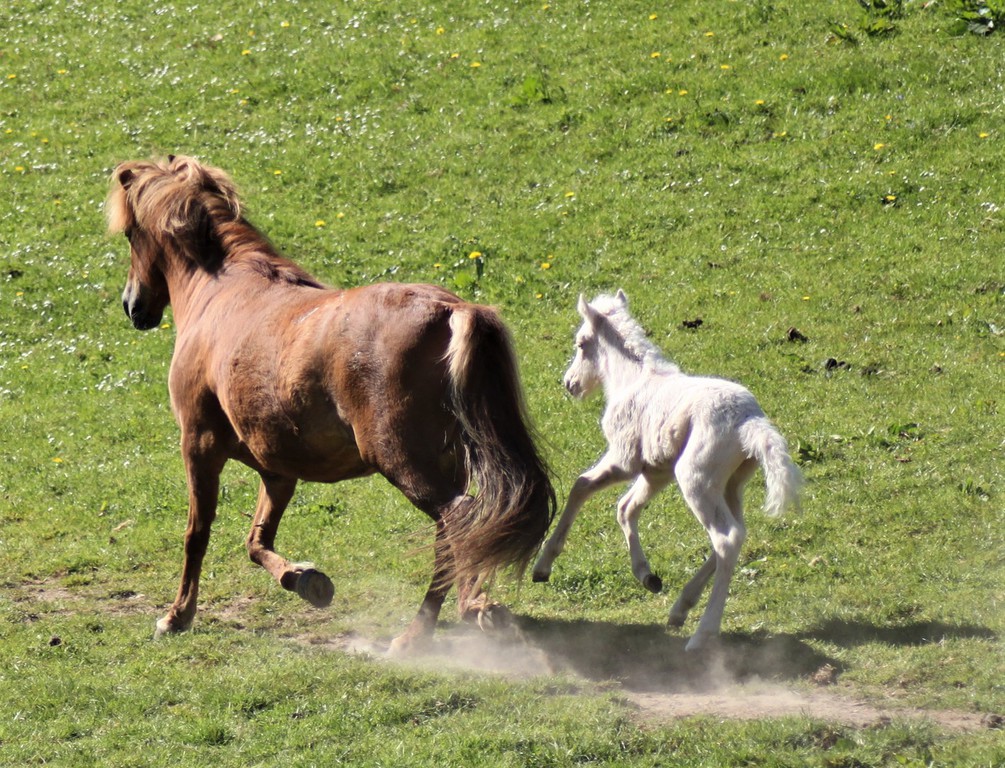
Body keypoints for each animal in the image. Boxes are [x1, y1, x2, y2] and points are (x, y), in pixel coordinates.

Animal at [105, 155, 555, 653]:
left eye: (131, 235)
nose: (132, 306)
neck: (222, 292)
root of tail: (452, 310)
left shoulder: (199, 445)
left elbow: (196, 533)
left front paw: (177, 615)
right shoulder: (278, 470)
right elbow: (256, 541)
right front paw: (305, 579)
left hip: (405, 462)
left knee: (460, 519)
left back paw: (417, 633)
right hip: (449, 461)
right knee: (466, 528)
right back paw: (473, 607)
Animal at [532, 290, 801, 651]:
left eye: (581, 343)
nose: (570, 384)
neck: (632, 380)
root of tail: (750, 422)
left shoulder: (624, 458)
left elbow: (581, 485)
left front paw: (543, 566)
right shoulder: (656, 470)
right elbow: (626, 507)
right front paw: (647, 576)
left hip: (695, 479)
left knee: (726, 537)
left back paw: (702, 634)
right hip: (731, 484)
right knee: (739, 533)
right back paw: (679, 610)